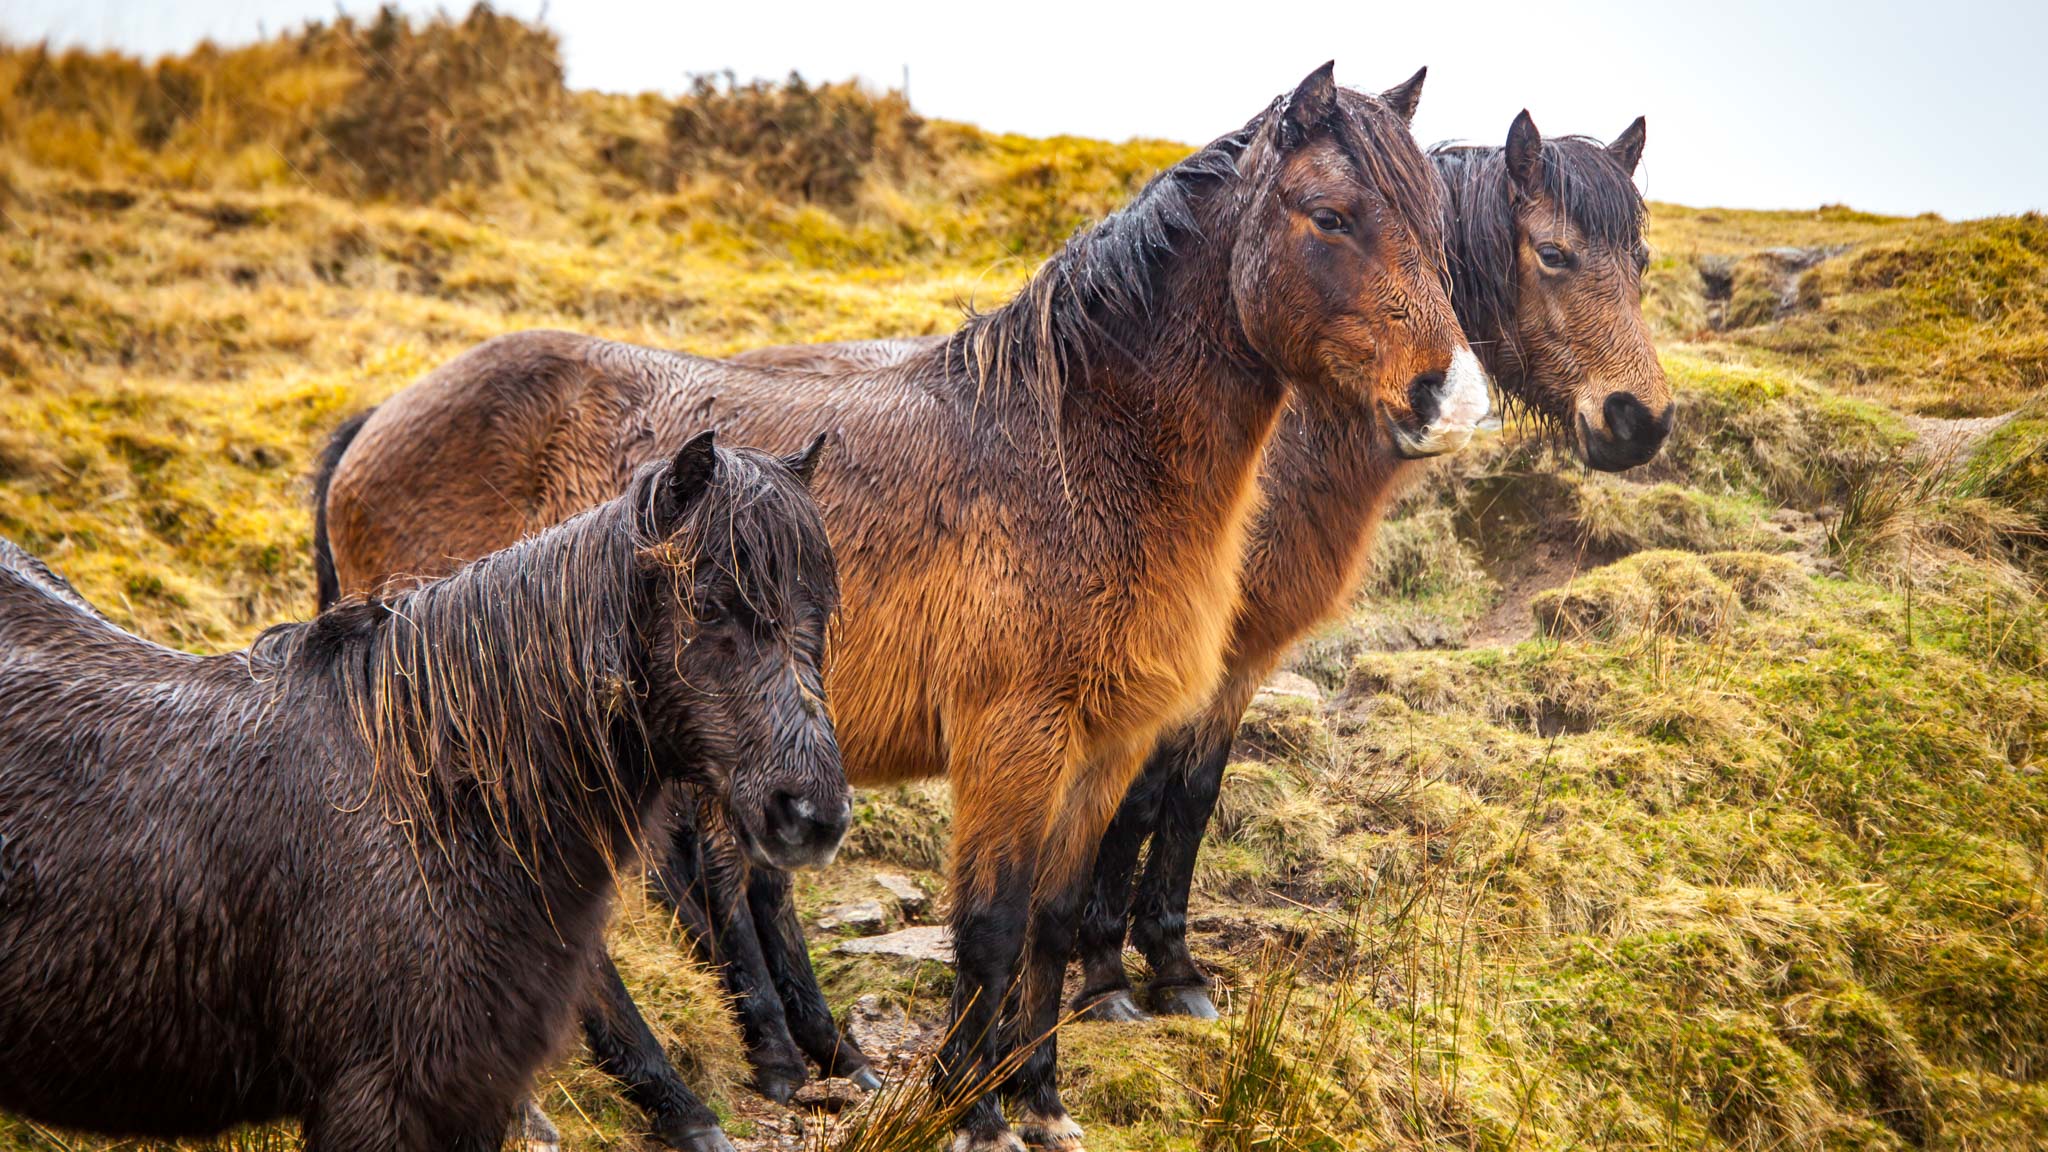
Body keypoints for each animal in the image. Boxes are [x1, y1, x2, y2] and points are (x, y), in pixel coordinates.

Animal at [0, 432, 839, 1147]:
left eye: (821, 611)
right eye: (712, 602)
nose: (812, 815)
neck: (432, 807)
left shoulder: (473, 1098)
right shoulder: (376, 1103)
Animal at [311, 67, 1482, 1139]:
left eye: (1435, 227)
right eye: (1330, 216)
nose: (1446, 397)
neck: (1069, 456)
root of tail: (378, 424)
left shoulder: (1104, 744)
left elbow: (1053, 921)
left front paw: (1038, 1099)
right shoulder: (1011, 738)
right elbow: (990, 927)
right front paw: (970, 1110)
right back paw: (660, 1106)